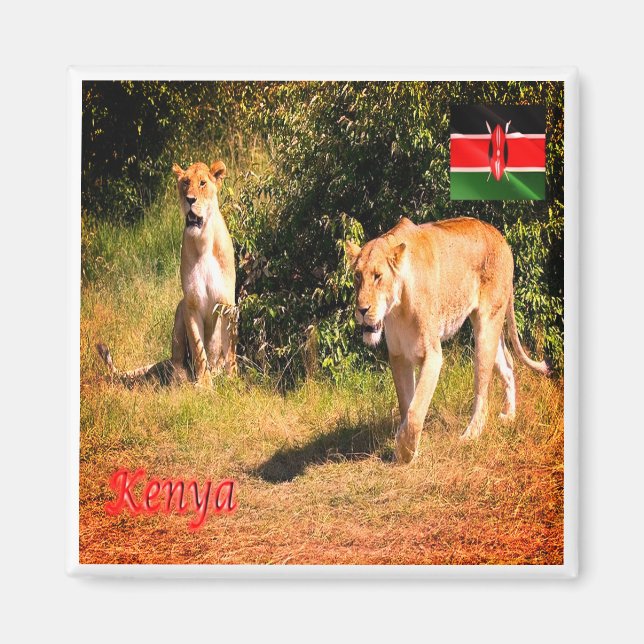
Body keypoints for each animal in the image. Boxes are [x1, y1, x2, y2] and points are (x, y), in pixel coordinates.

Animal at [97, 161, 237, 386]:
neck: (203, 241)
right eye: (185, 183)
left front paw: (233, 379)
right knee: (177, 360)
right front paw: (204, 384)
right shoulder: (190, 303)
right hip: (179, 310)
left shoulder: (227, 306)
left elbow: (230, 349)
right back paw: (181, 379)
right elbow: (198, 349)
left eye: (202, 183)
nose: (190, 199)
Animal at [346, 216, 550, 464]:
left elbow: (416, 410)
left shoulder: (433, 355)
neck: (398, 308)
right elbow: (406, 404)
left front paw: (404, 451)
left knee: (482, 391)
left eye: (377, 276)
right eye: (357, 276)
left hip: (486, 327)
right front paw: (410, 448)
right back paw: (509, 415)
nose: (362, 310)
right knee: (508, 364)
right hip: (492, 326)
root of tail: (499, 236)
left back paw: (470, 435)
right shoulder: (398, 355)